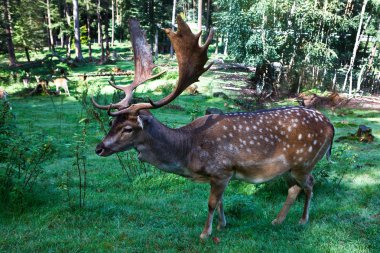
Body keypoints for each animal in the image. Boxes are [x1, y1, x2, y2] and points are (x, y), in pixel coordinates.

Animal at [93, 16, 336, 239]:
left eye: (128, 128)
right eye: (112, 123)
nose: (99, 148)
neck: (187, 152)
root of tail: (330, 126)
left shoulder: (222, 169)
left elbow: (211, 203)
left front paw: (205, 233)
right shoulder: (219, 175)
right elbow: (220, 202)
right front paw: (222, 225)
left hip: (305, 161)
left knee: (310, 184)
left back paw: (302, 220)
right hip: (289, 168)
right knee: (294, 188)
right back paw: (277, 221)